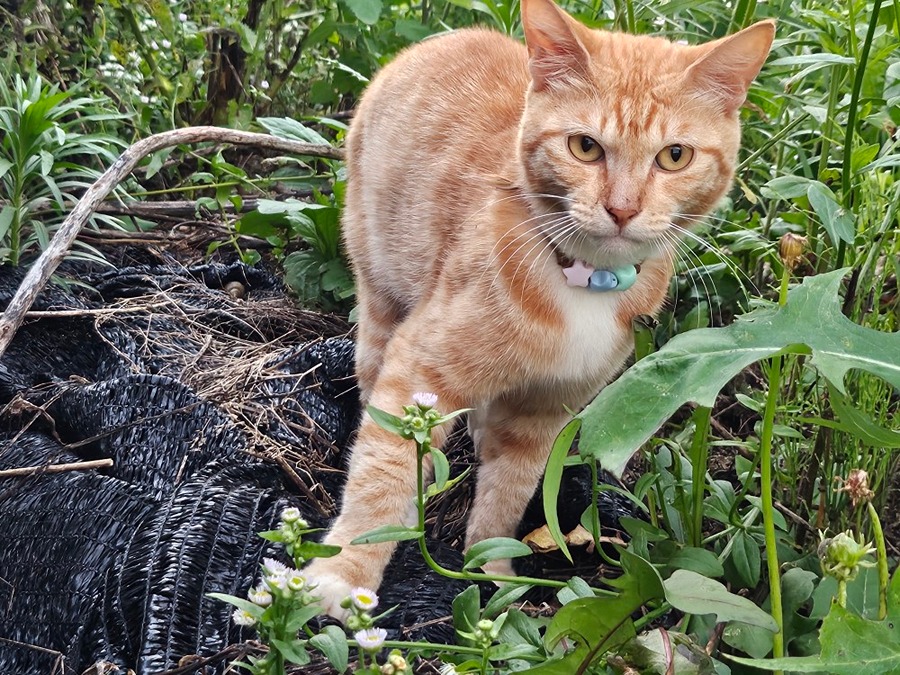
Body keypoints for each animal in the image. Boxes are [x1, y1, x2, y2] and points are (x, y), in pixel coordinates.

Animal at [308, 0, 772, 616]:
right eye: (585, 147)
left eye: (675, 156)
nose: (622, 209)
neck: (584, 279)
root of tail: (440, 40)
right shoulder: (419, 369)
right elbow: (383, 474)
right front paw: (345, 571)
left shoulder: (548, 411)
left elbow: (511, 487)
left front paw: (492, 570)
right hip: (379, 289)